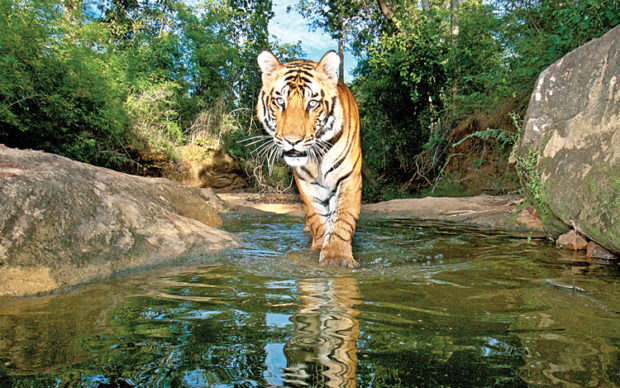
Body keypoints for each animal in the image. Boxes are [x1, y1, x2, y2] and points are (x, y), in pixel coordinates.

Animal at [256, 50, 364, 268]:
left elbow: (342, 218)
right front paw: (319, 247)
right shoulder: (306, 182)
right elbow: (317, 217)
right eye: (280, 102)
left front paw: (337, 257)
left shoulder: (349, 177)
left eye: (312, 103)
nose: (292, 141)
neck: (318, 158)